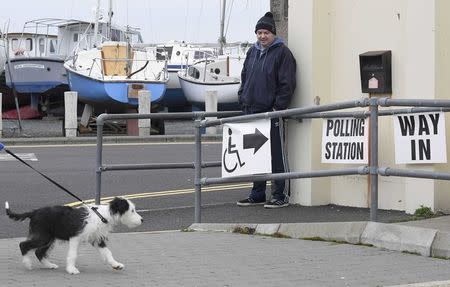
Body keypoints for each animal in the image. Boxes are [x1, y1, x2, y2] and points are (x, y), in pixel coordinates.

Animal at [4, 198, 142, 274]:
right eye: (132, 211)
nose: (142, 220)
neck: (102, 216)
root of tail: (34, 212)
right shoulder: (75, 237)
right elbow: (73, 254)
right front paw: (71, 269)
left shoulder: (97, 238)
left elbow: (107, 252)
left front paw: (116, 265)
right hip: (43, 236)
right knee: (23, 245)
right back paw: (27, 263)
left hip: (49, 238)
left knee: (39, 252)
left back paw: (49, 265)